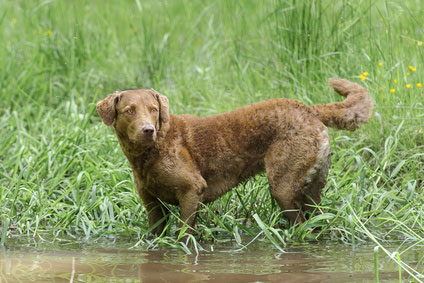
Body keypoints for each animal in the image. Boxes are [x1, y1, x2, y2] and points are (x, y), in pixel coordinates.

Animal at [97, 78, 372, 235]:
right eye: (129, 111)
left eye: (153, 110)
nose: (148, 130)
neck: (149, 153)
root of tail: (308, 109)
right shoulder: (151, 202)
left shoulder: (192, 189)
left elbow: (185, 233)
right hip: (312, 186)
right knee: (316, 219)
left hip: (283, 186)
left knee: (301, 222)